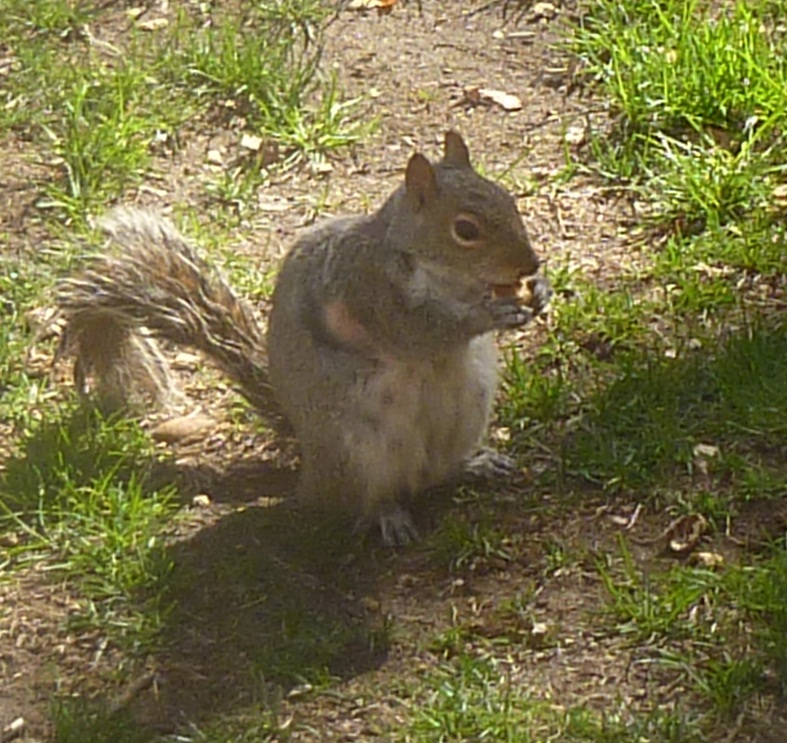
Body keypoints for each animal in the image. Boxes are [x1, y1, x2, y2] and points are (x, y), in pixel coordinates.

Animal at [56, 131, 551, 546]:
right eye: (465, 229)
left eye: (507, 198)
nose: (531, 263)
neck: (446, 277)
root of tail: (309, 469)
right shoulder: (369, 291)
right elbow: (422, 330)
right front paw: (492, 313)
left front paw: (539, 292)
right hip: (358, 448)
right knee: (363, 499)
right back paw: (386, 516)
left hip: (469, 408)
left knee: (439, 472)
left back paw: (475, 463)